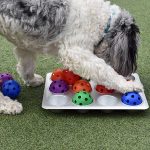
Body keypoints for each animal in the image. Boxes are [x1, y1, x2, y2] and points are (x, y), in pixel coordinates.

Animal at [0, 0, 143, 114]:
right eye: (132, 52)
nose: (130, 76)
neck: (102, 22)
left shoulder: (25, 43)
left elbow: (26, 65)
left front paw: (31, 80)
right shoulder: (74, 52)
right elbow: (104, 70)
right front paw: (128, 85)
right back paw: (8, 104)